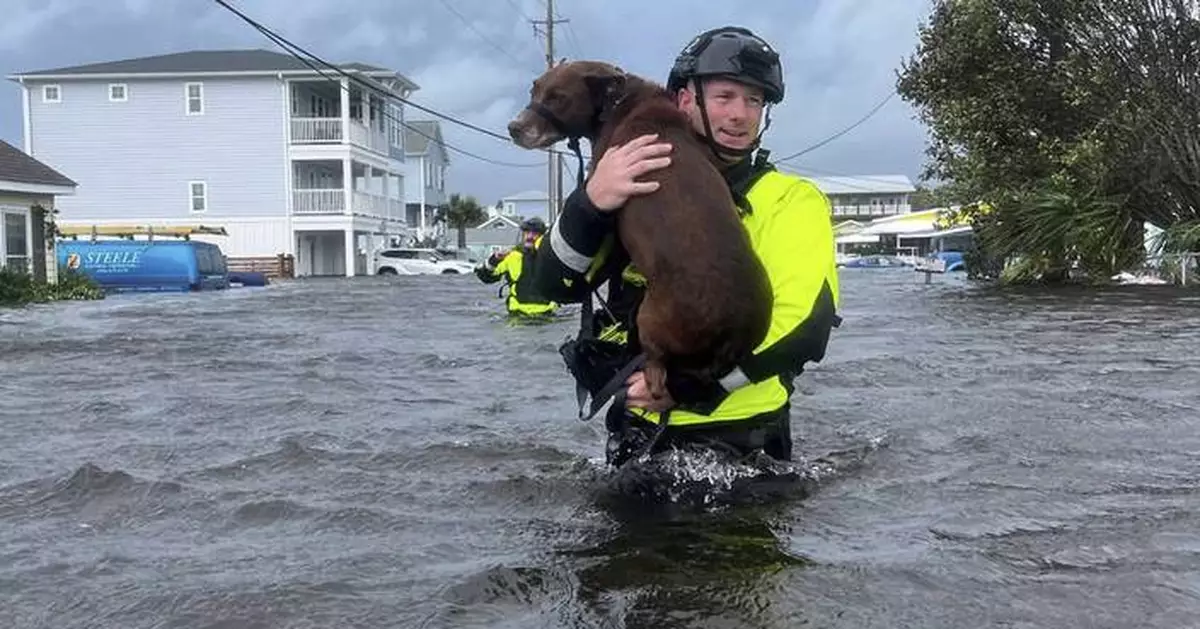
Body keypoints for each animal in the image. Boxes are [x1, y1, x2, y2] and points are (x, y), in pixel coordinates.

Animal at [504, 60, 768, 408]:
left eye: (558, 97)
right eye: (534, 88)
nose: (513, 127)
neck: (622, 100)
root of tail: (728, 334)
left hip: (649, 319)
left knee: (656, 372)